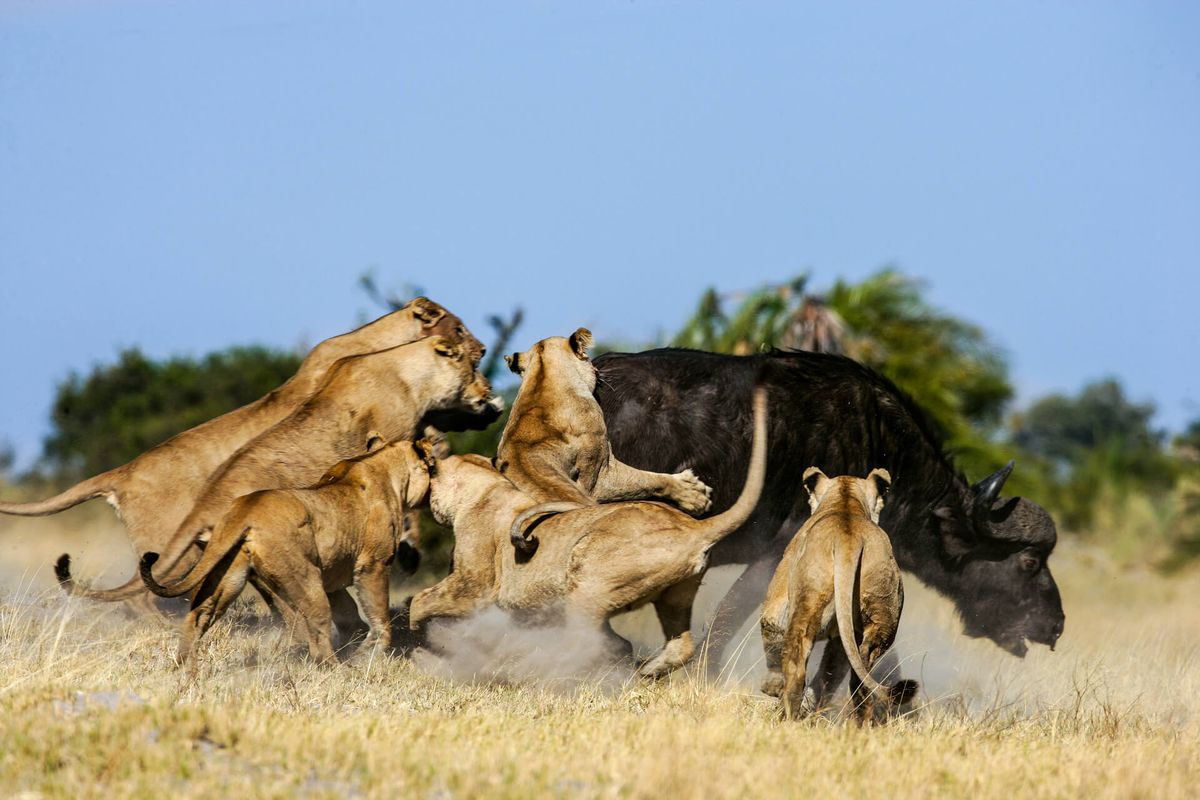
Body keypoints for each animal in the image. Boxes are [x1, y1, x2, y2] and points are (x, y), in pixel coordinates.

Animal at [139, 439, 434, 664]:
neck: (380, 463)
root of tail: (245, 510)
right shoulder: (373, 565)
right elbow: (379, 614)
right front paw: (371, 652)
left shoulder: (333, 574)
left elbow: (350, 614)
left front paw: (357, 643)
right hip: (306, 579)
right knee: (318, 631)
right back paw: (338, 668)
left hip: (227, 576)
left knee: (198, 615)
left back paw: (183, 668)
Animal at [409, 387, 767, 679]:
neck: (487, 486)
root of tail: (695, 526)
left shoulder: (474, 587)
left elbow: (421, 601)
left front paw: (416, 638)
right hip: (675, 596)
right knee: (678, 645)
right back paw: (648, 670)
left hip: (587, 586)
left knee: (590, 643)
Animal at [759, 467, 913, 723]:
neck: (845, 502)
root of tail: (848, 539)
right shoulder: (841, 639)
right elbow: (830, 673)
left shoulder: (776, 606)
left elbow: (771, 630)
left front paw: (772, 688)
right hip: (883, 610)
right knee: (861, 671)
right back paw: (858, 723)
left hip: (808, 599)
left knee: (796, 662)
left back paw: (786, 716)